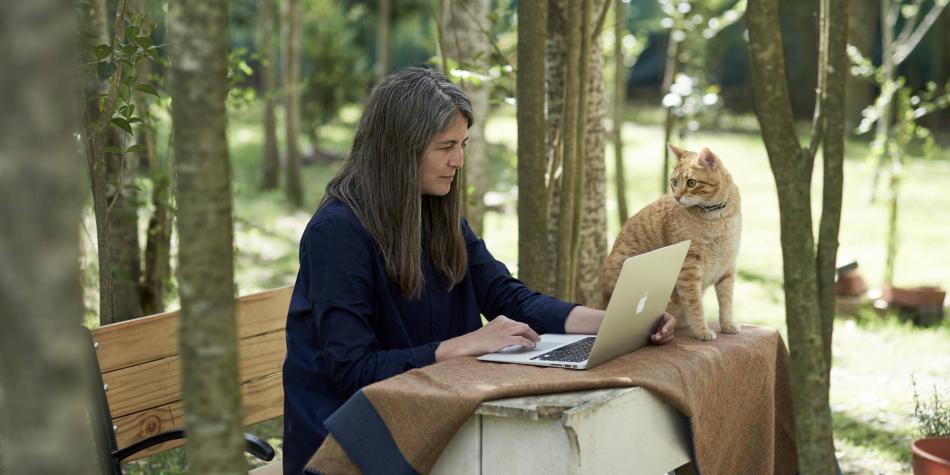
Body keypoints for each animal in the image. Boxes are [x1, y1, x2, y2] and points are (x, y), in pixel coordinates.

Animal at [596, 143, 744, 340]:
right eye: (674, 182)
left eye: (691, 183)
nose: (677, 197)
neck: (716, 216)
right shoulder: (689, 269)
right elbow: (695, 304)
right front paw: (702, 331)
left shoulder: (727, 268)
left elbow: (726, 302)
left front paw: (728, 325)